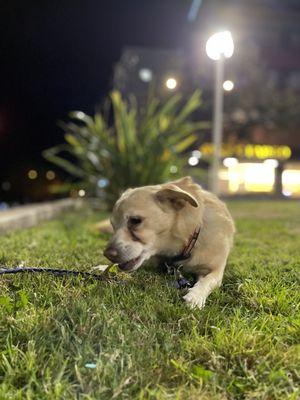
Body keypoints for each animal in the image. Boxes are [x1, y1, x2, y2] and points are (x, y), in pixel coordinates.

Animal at [104, 176, 236, 310]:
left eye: (135, 220)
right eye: (113, 226)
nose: (107, 254)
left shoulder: (214, 271)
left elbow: (207, 281)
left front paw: (195, 296)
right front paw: (103, 267)